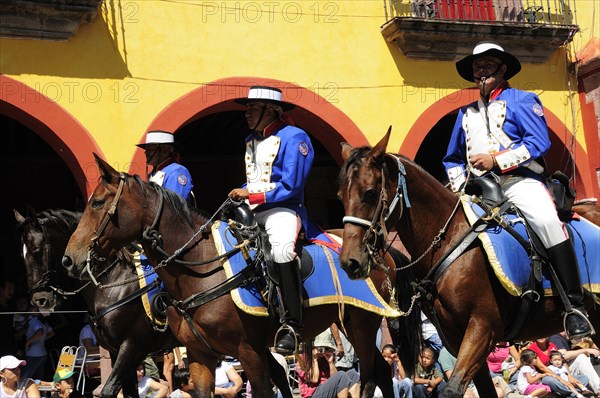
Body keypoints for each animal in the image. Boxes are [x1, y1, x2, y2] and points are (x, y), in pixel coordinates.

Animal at [14, 208, 178, 398]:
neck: (114, 281)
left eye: (36, 250)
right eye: (21, 255)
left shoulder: (133, 347)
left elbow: (109, 389)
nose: (39, 299)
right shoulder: (116, 350)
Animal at [62, 155, 422, 398]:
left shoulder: (246, 351)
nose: (71, 258)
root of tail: (381, 250)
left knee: (372, 373)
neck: (200, 268)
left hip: (361, 324)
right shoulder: (198, 355)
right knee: (380, 371)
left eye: (97, 203)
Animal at [336, 130, 596, 398]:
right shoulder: (457, 337)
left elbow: (452, 389)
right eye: (340, 196)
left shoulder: (482, 328)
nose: (350, 261)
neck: (449, 239)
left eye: (370, 192)